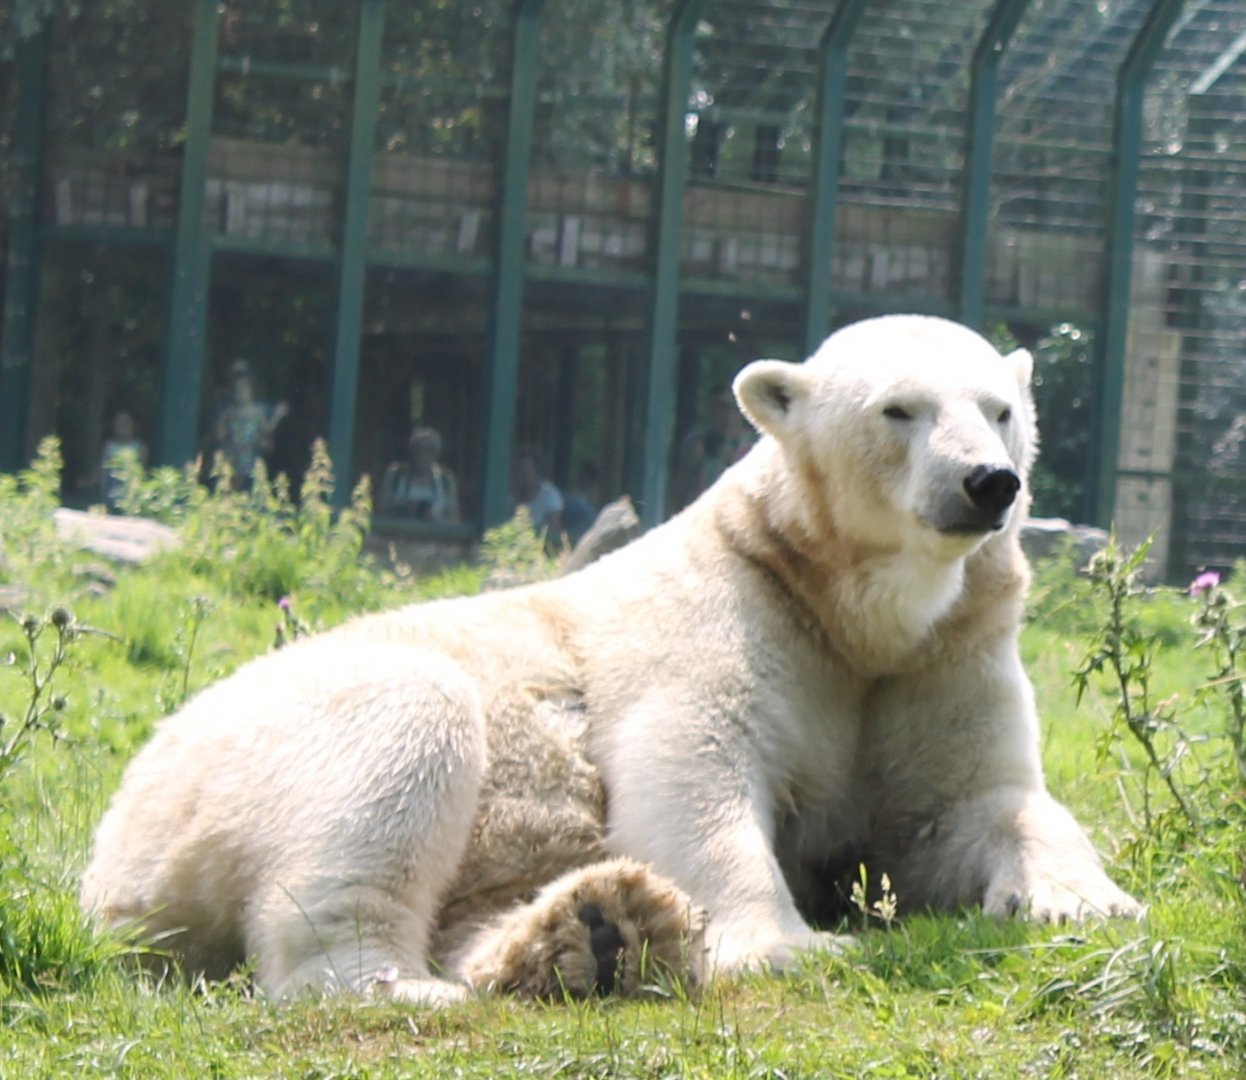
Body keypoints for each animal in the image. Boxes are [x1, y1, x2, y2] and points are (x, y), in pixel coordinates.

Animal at [80, 313, 1139, 1005]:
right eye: (898, 410)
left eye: (1001, 409)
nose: (987, 484)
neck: (841, 604)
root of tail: (111, 849)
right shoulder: (728, 616)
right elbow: (689, 777)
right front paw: (787, 949)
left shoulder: (946, 652)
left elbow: (973, 804)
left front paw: (1083, 902)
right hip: (238, 767)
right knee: (397, 744)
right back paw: (415, 986)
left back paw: (588, 938)